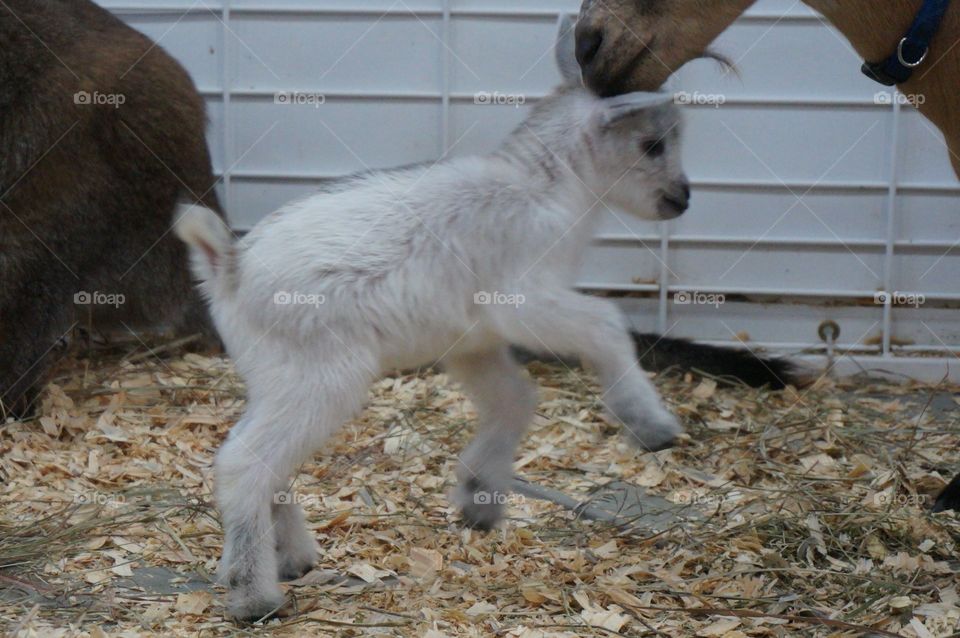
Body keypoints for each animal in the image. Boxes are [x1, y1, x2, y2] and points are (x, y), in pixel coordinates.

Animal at [176, 18, 688, 620]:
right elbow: (606, 322)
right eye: (652, 144)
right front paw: (650, 424)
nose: (682, 199)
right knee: (243, 463)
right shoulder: (523, 300)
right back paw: (254, 594)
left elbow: (515, 398)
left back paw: (293, 558)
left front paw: (478, 498)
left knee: (254, 457)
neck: (545, 185)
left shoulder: (473, 342)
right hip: (319, 377)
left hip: (274, 378)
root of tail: (229, 265)